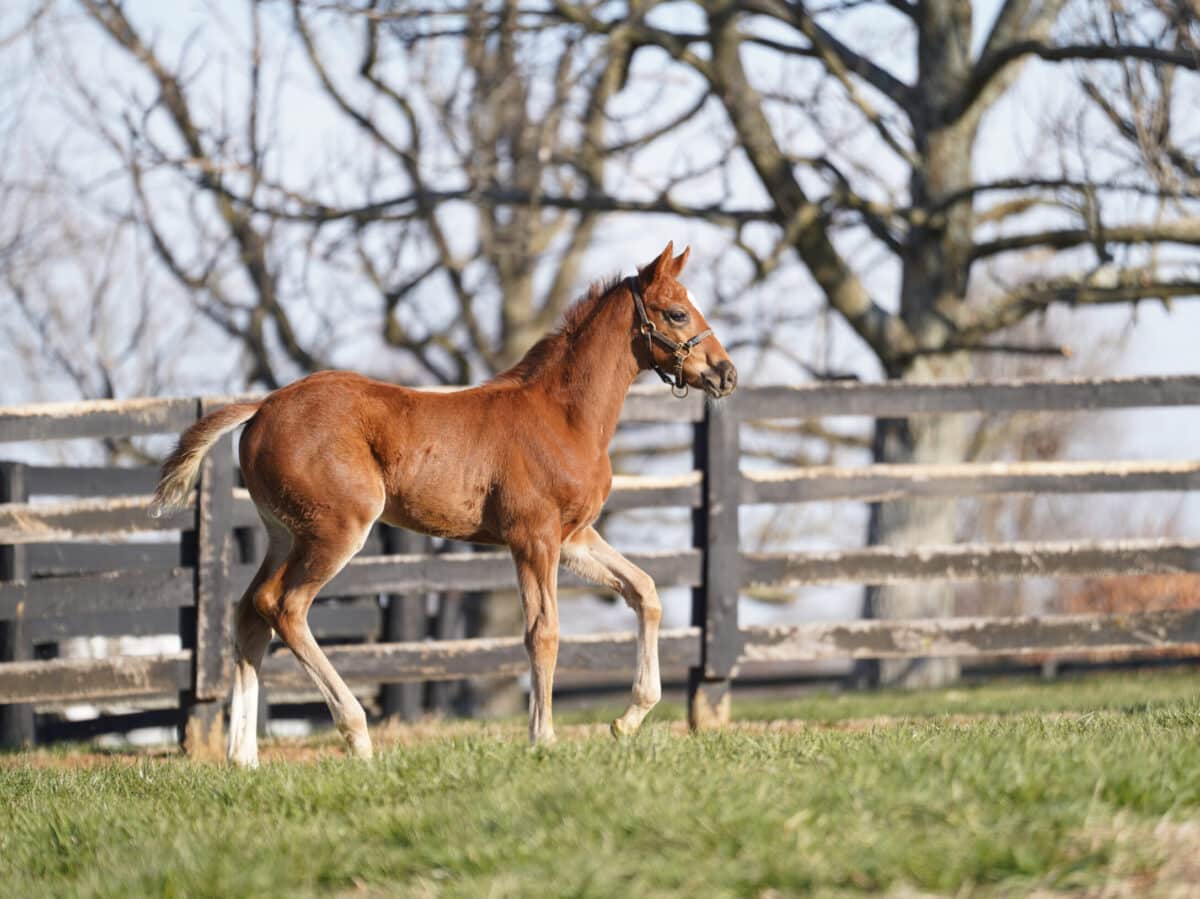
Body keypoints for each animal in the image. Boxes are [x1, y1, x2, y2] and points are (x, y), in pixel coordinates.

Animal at [154, 242, 734, 763]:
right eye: (677, 312)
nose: (725, 373)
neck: (562, 417)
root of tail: (263, 407)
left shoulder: (572, 537)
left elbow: (645, 590)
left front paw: (627, 720)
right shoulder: (533, 537)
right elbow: (543, 632)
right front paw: (542, 739)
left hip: (283, 533)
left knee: (249, 613)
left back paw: (243, 758)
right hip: (336, 529)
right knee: (284, 607)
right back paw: (357, 736)